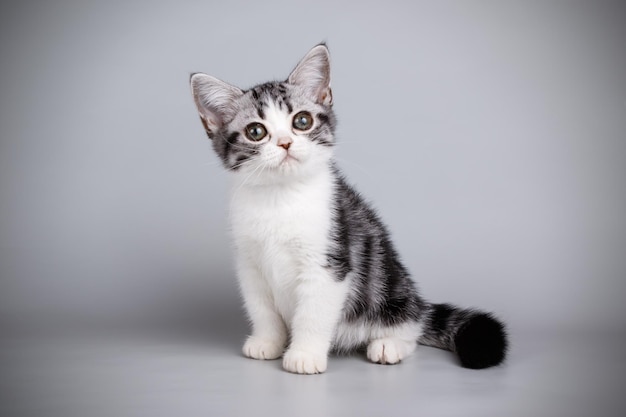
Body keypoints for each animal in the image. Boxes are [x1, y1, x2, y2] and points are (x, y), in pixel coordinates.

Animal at [188, 43, 504, 374]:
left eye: (302, 121)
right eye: (256, 132)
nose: (286, 143)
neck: (281, 198)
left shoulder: (330, 261)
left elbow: (312, 314)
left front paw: (304, 355)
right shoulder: (249, 264)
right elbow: (262, 308)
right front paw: (267, 341)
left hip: (391, 287)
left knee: (411, 323)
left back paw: (389, 344)